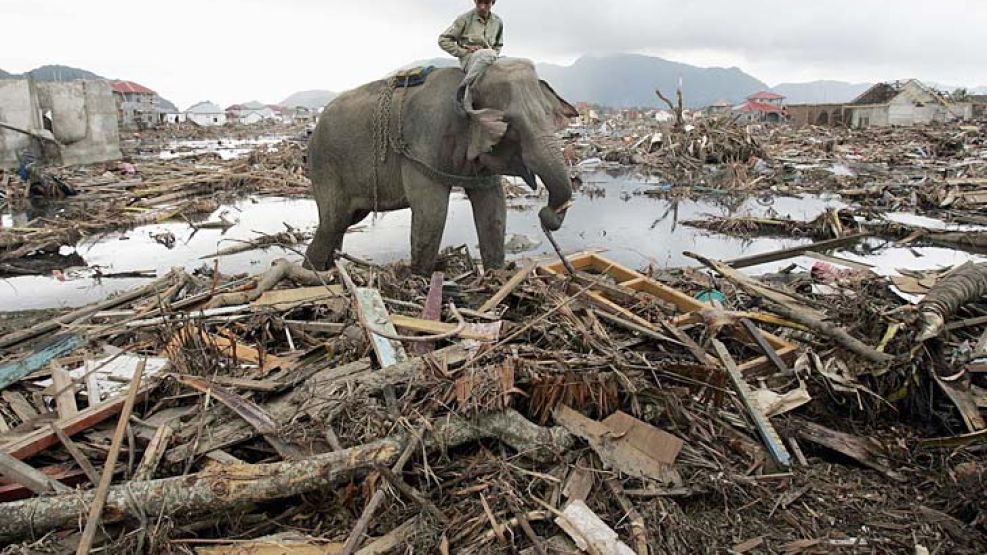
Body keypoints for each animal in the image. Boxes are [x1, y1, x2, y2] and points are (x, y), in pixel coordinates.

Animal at [302, 56, 580, 274]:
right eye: (510, 124)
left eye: (549, 115)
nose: (547, 216)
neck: (466, 85)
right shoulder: (423, 140)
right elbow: (432, 212)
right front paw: (421, 281)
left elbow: (493, 208)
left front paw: (496, 277)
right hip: (326, 165)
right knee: (333, 221)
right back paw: (313, 275)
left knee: (344, 222)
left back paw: (327, 270)